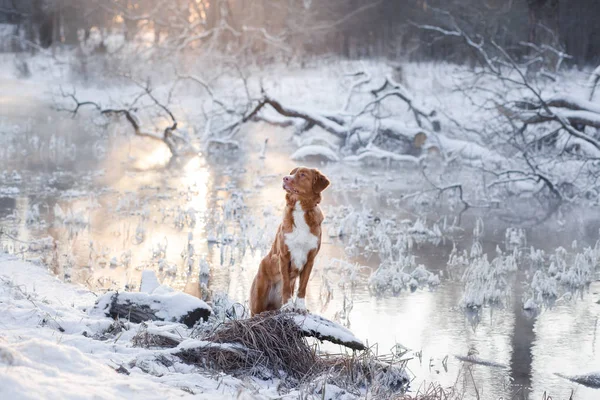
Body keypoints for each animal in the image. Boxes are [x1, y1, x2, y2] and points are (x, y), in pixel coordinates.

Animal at [250, 166, 330, 316]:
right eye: (291, 173)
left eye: (303, 175)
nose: (285, 178)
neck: (300, 209)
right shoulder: (284, 256)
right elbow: (286, 285)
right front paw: (287, 306)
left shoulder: (310, 259)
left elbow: (303, 287)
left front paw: (300, 307)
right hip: (258, 299)